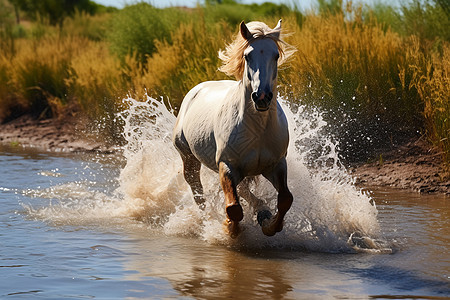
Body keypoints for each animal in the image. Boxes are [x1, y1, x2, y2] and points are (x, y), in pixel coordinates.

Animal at [172, 19, 296, 238]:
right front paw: (231, 228)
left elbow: (285, 199)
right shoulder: (227, 165)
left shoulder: (276, 164)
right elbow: (233, 208)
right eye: (247, 56)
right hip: (189, 159)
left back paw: (262, 212)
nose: (261, 97)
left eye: (275, 55)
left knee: (246, 192)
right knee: (198, 193)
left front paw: (269, 225)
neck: (257, 129)